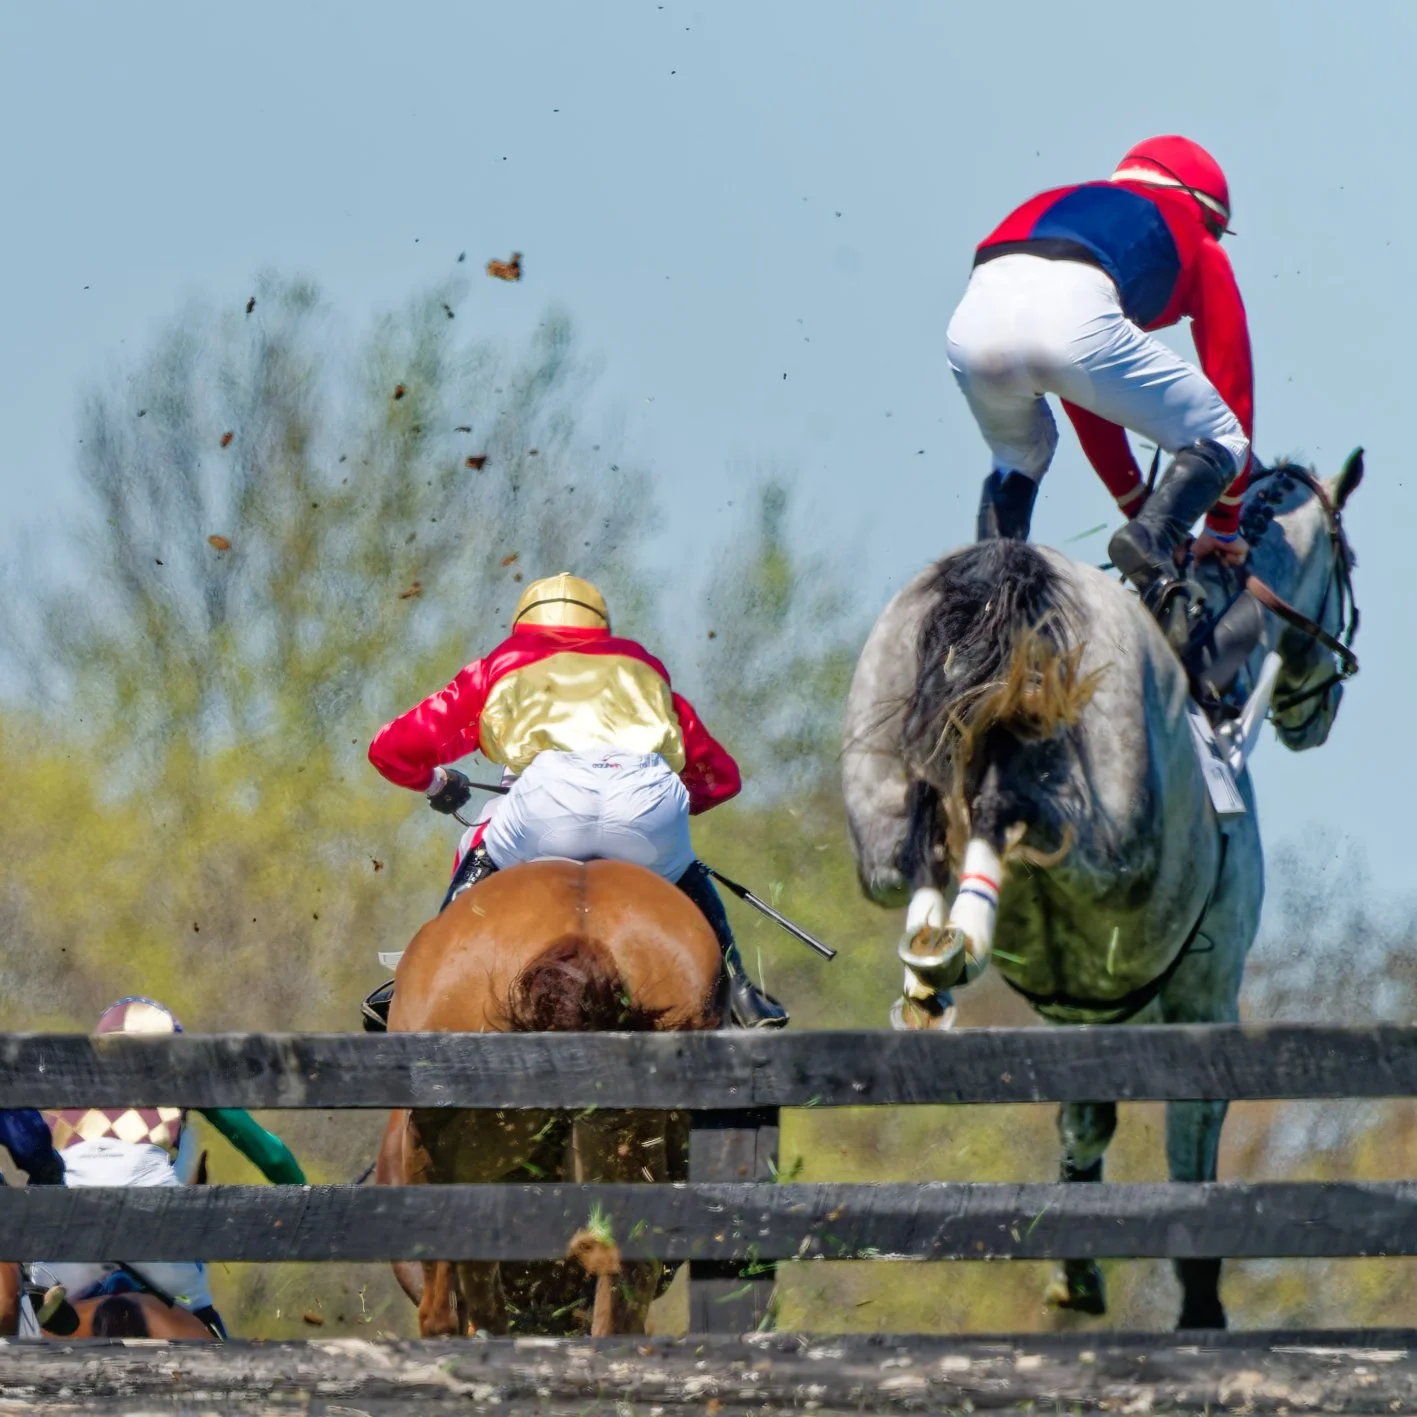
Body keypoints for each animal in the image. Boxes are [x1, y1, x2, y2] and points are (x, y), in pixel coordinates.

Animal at [841, 453, 1364, 1330]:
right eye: (1348, 565)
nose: (1316, 716)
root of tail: (1009, 573)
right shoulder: (1202, 994)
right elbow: (1191, 1145)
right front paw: (1197, 1307)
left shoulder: (1080, 1006)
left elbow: (1083, 1119)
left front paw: (1076, 1267)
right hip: (1103, 839)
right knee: (1006, 817)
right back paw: (956, 942)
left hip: (881, 805)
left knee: (917, 851)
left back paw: (931, 960)